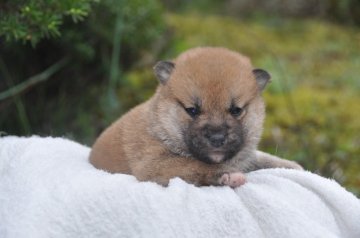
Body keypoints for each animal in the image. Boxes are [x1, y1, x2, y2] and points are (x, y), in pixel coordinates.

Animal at [89, 47, 300, 188]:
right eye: (192, 110)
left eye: (236, 110)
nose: (217, 138)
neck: (162, 126)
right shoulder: (154, 164)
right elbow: (196, 166)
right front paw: (228, 175)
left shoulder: (247, 156)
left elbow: (264, 158)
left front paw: (293, 166)